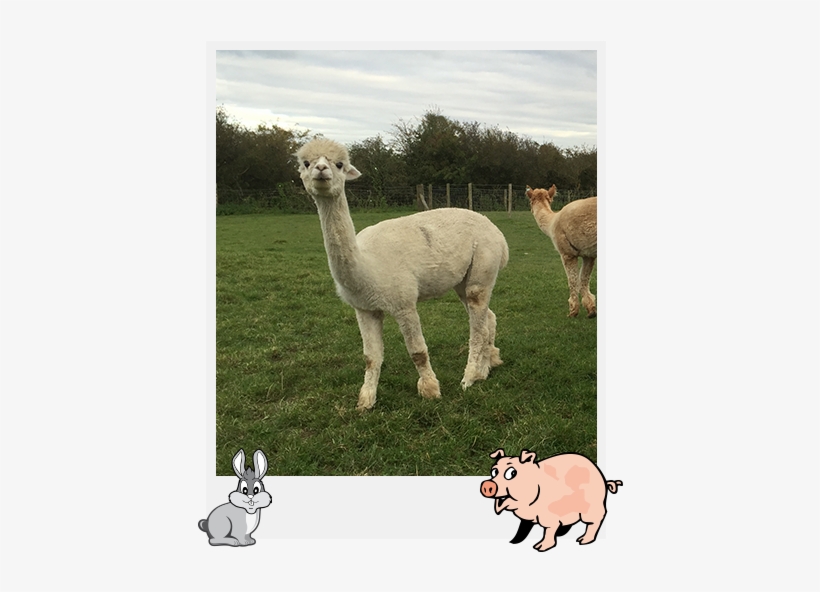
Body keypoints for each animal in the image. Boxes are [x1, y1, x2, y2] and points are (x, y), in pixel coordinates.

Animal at [480, 449, 622, 552]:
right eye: (494, 472)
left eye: (511, 473)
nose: (487, 486)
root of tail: (603, 478)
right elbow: (522, 529)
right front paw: (513, 541)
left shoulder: (548, 516)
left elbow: (548, 531)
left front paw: (540, 548)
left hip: (591, 507)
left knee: (595, 521)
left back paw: (583, 540)